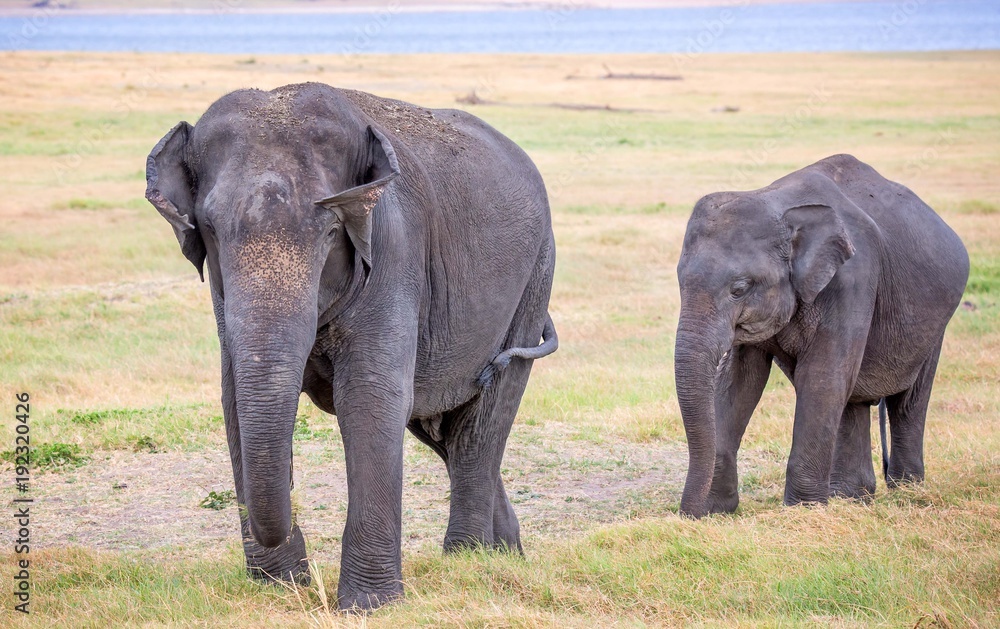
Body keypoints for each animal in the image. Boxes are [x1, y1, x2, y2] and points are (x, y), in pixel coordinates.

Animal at [145, 82, 558, 610]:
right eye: (211, 230)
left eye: (329, 231)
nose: (304, 578)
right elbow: (234, 398)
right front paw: (280, 589)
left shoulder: (394, 249)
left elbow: (370, 395)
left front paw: (368, 605)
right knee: (440, 426)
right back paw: (505, 556)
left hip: (535, 276)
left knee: (481, 424)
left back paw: (466, 563)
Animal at [674, 154, 969, 518]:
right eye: (680, 283)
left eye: (739, 289)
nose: (686, 514)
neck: (777, 201)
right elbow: (739, 381)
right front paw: (715, 512)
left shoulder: (854, 277)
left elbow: (822, 377)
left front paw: (801, 512)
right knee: (854, 400)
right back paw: (851, 497)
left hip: (935, 321)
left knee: (908, 400)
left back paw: (906, 489)